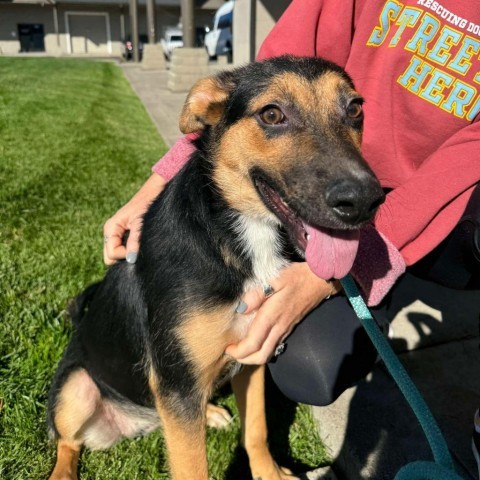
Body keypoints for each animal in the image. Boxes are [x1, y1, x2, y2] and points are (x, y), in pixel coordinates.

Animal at [47, 54, 384, 478]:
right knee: (67, 442)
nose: (365, 202)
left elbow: (256, 429)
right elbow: (193, 467)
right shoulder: (177, 382)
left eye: (355, 109)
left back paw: (210, 412)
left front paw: (269, 473)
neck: (242, 235)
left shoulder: (251, 357)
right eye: (272, 114)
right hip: (76, 387)